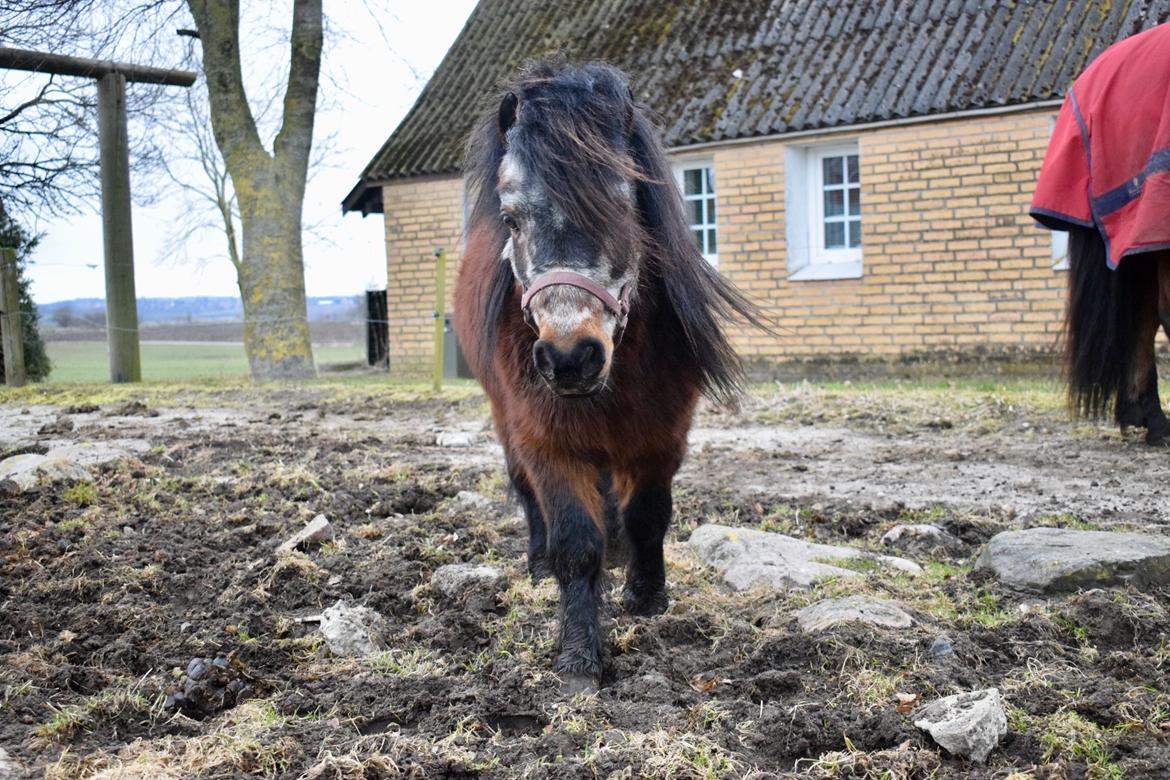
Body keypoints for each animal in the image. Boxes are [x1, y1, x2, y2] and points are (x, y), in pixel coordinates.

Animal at [454, 58, 761, 691]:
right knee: (527, 495)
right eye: (510, 219)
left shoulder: (662, 435)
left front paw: (646, 597)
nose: (570, 357)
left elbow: (648, 516)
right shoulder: (546, 442)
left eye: (623, 207)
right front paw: (578, 656)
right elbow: (576, 544)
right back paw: (538, 563)